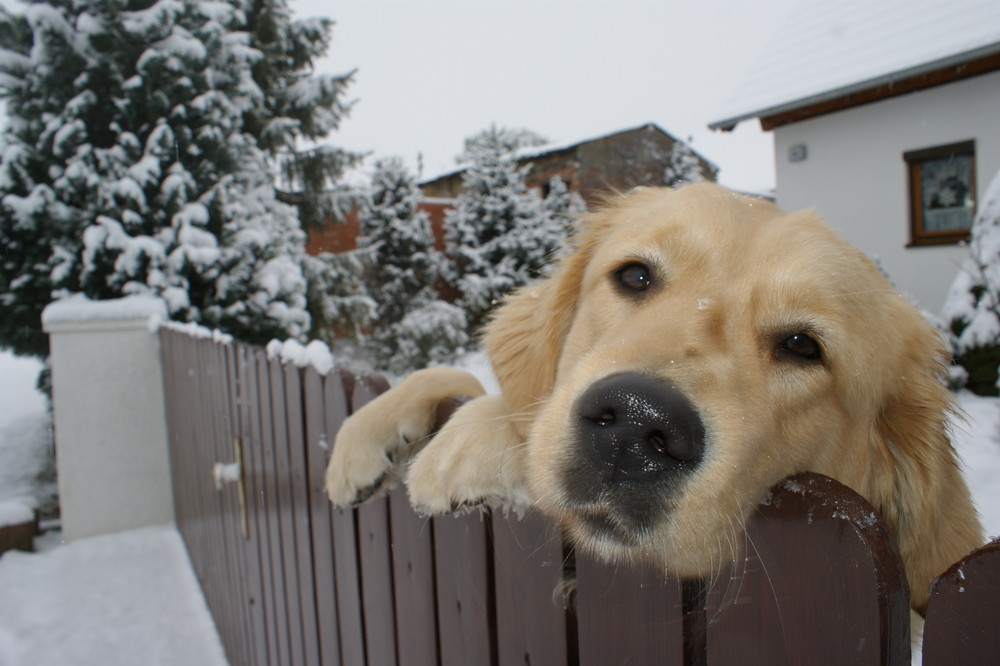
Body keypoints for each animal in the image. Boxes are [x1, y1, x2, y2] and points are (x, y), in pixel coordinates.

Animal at [326, 180, 984, 612]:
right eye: (635, 275)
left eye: (802, 345)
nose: (634, 426)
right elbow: (458, 377)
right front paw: (364, 443)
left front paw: (466, 443)